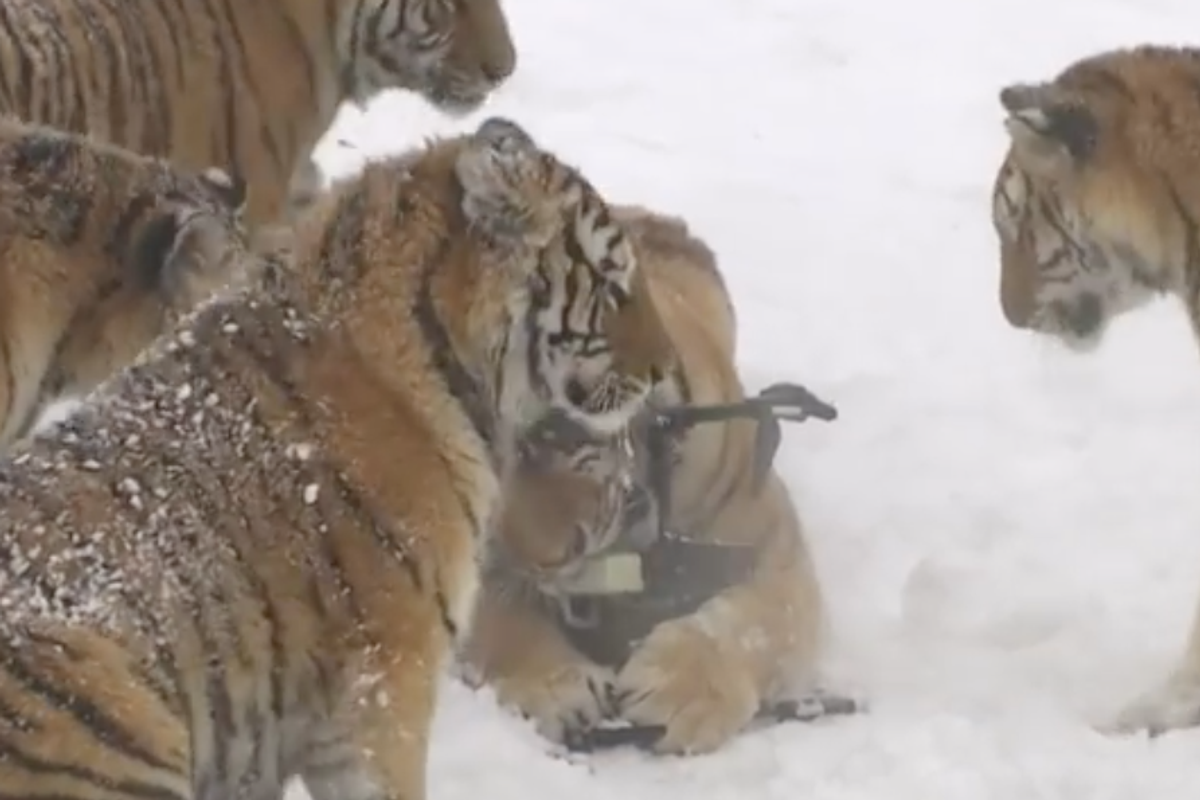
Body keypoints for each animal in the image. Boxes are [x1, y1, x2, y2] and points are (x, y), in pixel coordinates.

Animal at [459, 205, 829, 755]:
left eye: (552, 433)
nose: (541, 561)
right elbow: (496, 619)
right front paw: (555, 686)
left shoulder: (773, 537)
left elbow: (758, 621)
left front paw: (681, 693)